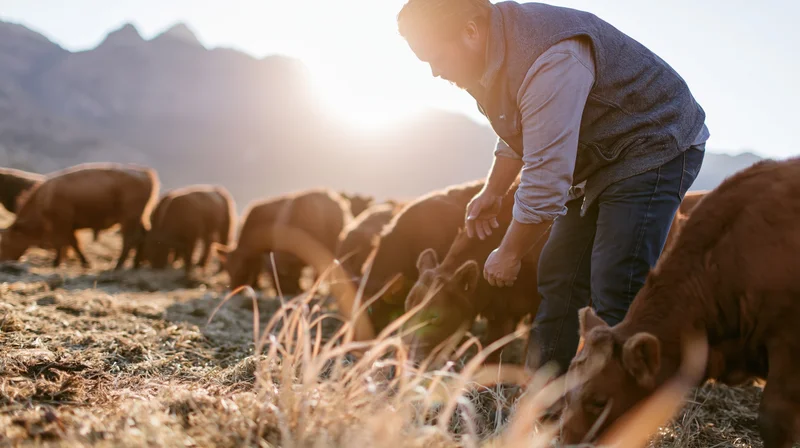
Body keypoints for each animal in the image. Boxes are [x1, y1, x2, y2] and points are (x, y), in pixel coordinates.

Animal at [0, 163, 159, 269]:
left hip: (129, 217)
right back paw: (135, 264)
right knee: (142, 236)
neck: (44, 198)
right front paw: (84, 262)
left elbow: (62, 243)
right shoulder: (70, 226)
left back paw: (118, 266)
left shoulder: (62, 223)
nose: (3, 260)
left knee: (130, 239)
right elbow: (73, 243)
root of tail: (145, 173)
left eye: (5, 241)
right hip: (139, 217)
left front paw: (57, 262)